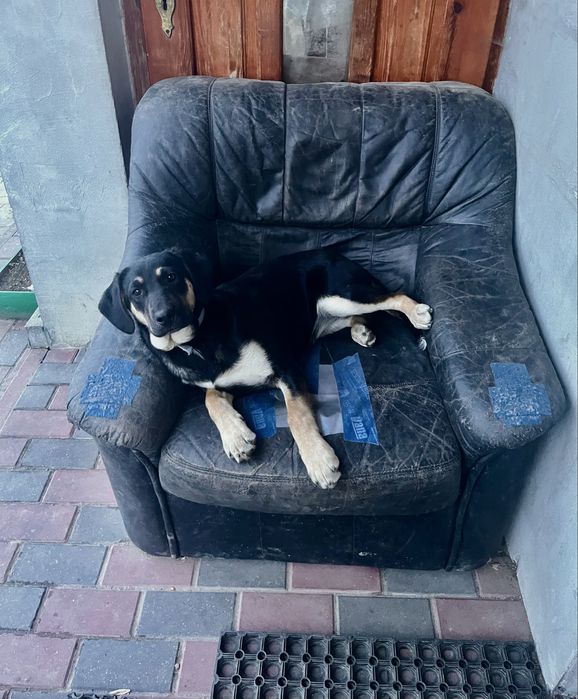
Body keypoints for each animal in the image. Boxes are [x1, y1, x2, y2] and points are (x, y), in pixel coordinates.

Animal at [99, 248, 432, 489]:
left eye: (170, 277)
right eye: (136, 292)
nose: (164, 317)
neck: (198, 340)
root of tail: (335, 254)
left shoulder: (285, 367)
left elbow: (296, 416)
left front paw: (319, 460)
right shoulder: (222, 383)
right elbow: (210, 399)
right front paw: (235, 437)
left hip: (341, 295)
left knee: (391, 297)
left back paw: (416, 313)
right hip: (323, 316)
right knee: (362, 314)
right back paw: (361, 331)